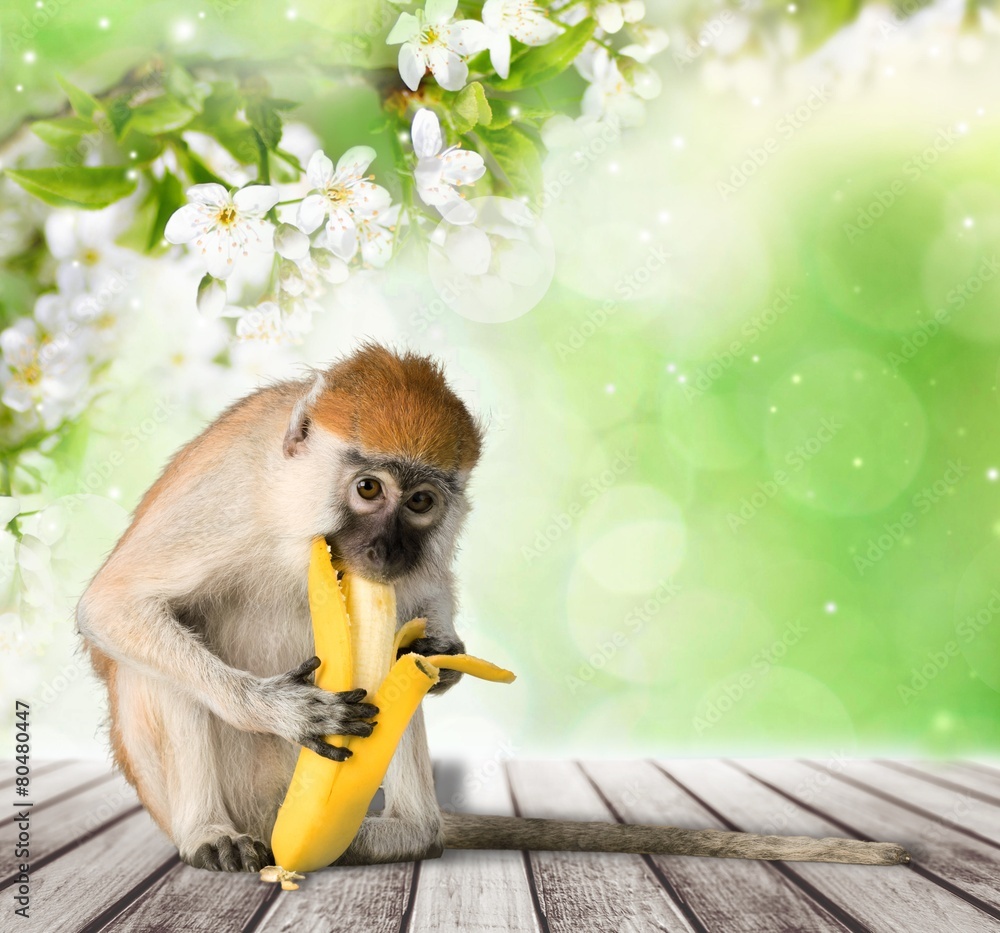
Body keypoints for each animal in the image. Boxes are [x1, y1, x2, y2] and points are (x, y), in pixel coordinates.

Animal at [76, 344, 908, 872]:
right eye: (368, 488)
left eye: (420, 502)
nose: (385, 547)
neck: (294, 517)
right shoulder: (230, 496)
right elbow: (115, 607)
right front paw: (285, 709)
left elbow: (424, 606)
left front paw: (443, 653)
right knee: (158, 659)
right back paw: (210, 831)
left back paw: (406, 835)